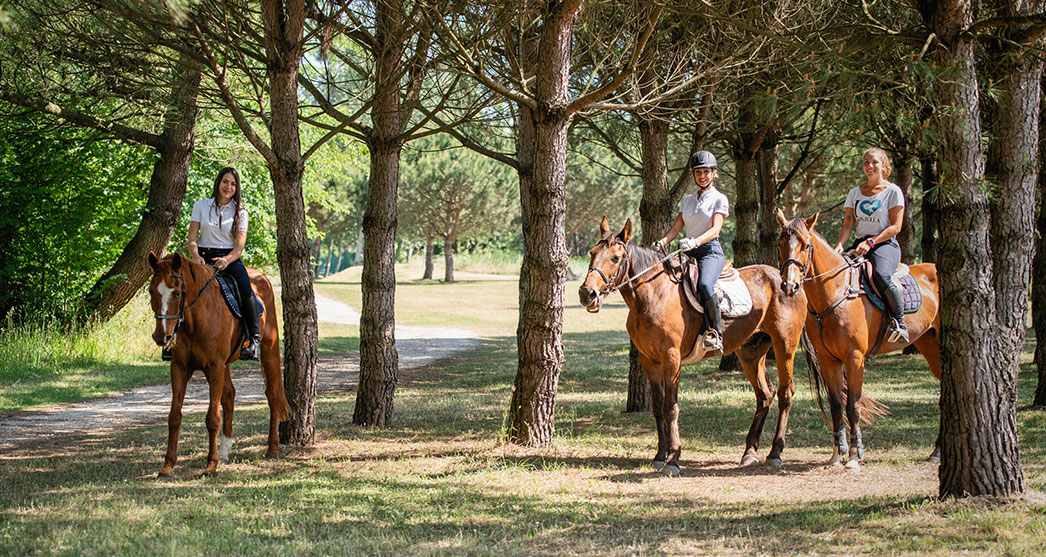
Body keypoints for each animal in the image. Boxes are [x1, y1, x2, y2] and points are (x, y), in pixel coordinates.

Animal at [145, 249, 288, 476]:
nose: (162, 337)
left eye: (176, 293)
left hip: (268, 351)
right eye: (152, 291)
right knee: (229, 395)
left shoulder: (214, 368)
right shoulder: (179, 368)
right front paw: (167, 466)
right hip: (226, 365)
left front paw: (210, 465)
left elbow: (212, 418)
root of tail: (260, 277)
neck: (195, 319)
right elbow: (174, 416)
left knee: (273, 394)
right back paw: (225, 450)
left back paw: (271, 448)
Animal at [581, 216, 807, 474]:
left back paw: (775, 453)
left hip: (784, 346)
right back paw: (749, 452)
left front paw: (673, 459)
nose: (586, 293)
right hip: (751, 352)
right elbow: (657, 407)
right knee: (765, 394)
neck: (654, 295)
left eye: (616, 258)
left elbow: (671, 407)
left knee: (785, 393)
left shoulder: (672, 359)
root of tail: (787, 281)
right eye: (592, 253)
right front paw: (660, 455)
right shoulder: (649, 360)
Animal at [774, 213, 945, 468]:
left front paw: (855, 455)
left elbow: (852, 405)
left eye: (805, 245)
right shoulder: (828, 360)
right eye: (780, 244)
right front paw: (837, 454)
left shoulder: (854, 358)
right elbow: (836, 404)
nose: (789, 285)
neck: (836, 293)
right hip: (930, 345)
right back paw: (937, 451)